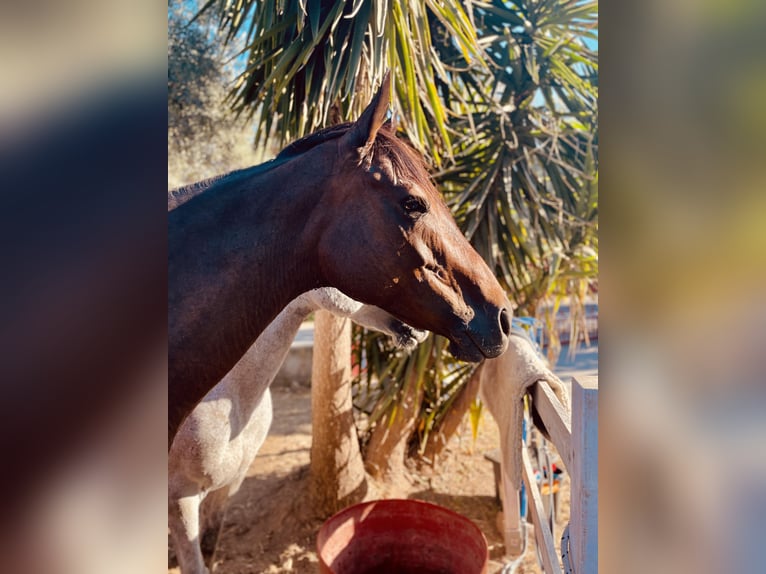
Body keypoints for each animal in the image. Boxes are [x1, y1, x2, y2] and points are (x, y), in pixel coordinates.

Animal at [168, 287, 427, 574]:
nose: (422, 329)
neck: (230, 398)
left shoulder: (228, 487)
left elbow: (209, 547)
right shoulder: (180, 498)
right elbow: (194, 564)